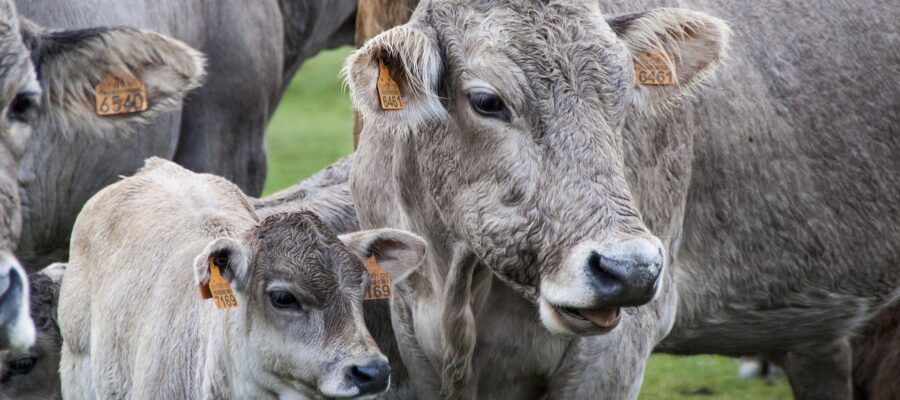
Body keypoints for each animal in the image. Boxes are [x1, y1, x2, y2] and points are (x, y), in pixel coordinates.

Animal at [346, 0, 899, 399]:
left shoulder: (615, 354)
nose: (630, 269)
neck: (456, 289)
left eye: (622, 96)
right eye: (487, 101)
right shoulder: (413, 338)